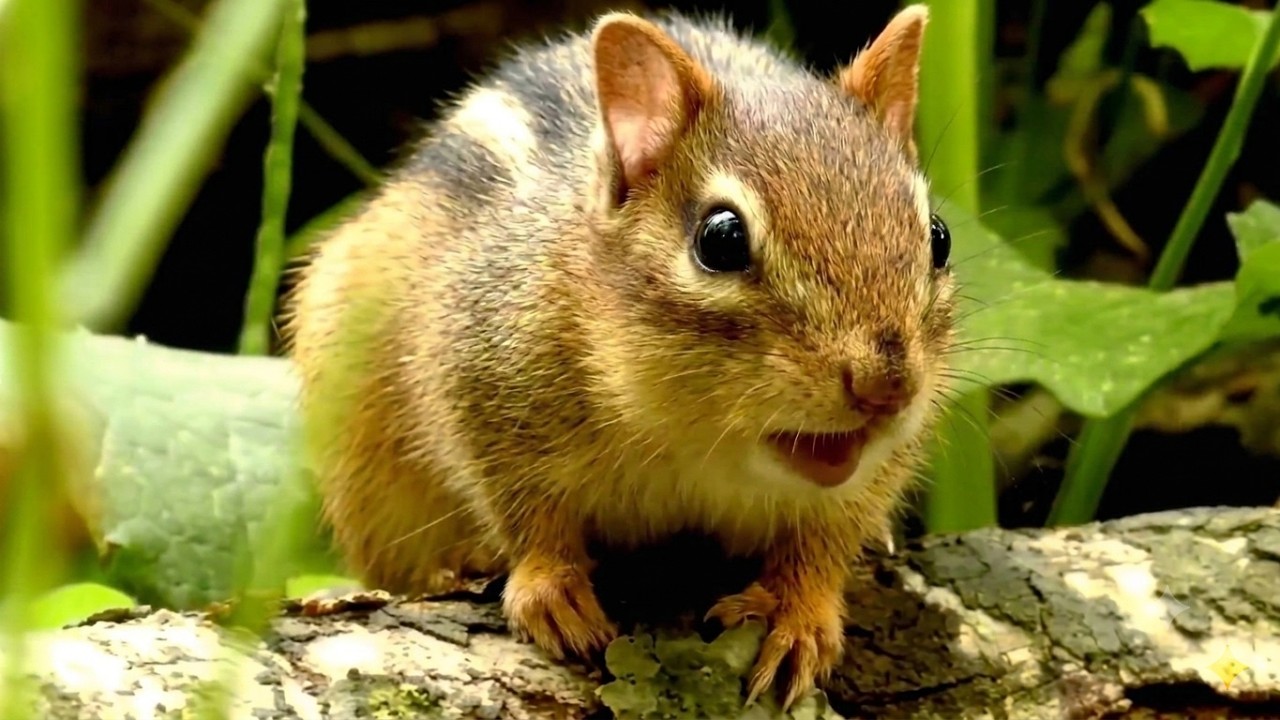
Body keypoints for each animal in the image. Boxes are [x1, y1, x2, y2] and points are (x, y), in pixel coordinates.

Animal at [283, 3, 956, 710]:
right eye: (721, 239)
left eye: (938, 238)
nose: (887, 385)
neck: (692, 442)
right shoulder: (479, 373)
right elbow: (523, 508)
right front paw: (549, 587)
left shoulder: (866, 477)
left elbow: (826, 539)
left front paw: (802, 615)